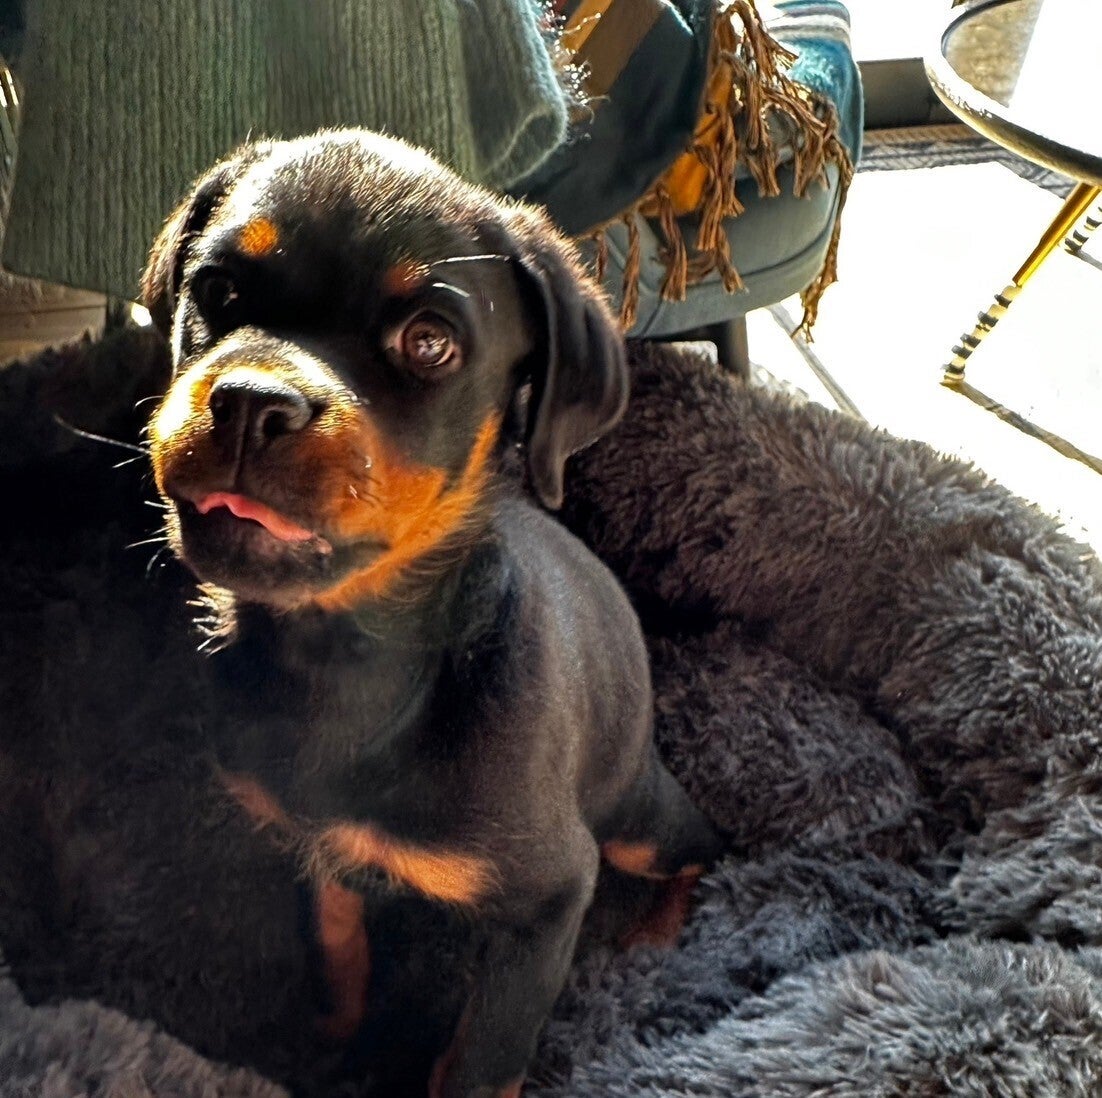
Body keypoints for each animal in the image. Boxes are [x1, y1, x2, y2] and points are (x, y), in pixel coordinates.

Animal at [143, 129, 721, 1098]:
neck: (352, 659)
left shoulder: (549, 899)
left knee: (701, 847)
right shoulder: (314, 845)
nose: (252, 403)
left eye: (429, 343)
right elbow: (334, 942)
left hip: (636, 812)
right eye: (217, 291)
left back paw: (656, 934)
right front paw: (330, 1045)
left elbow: (481, 1062)